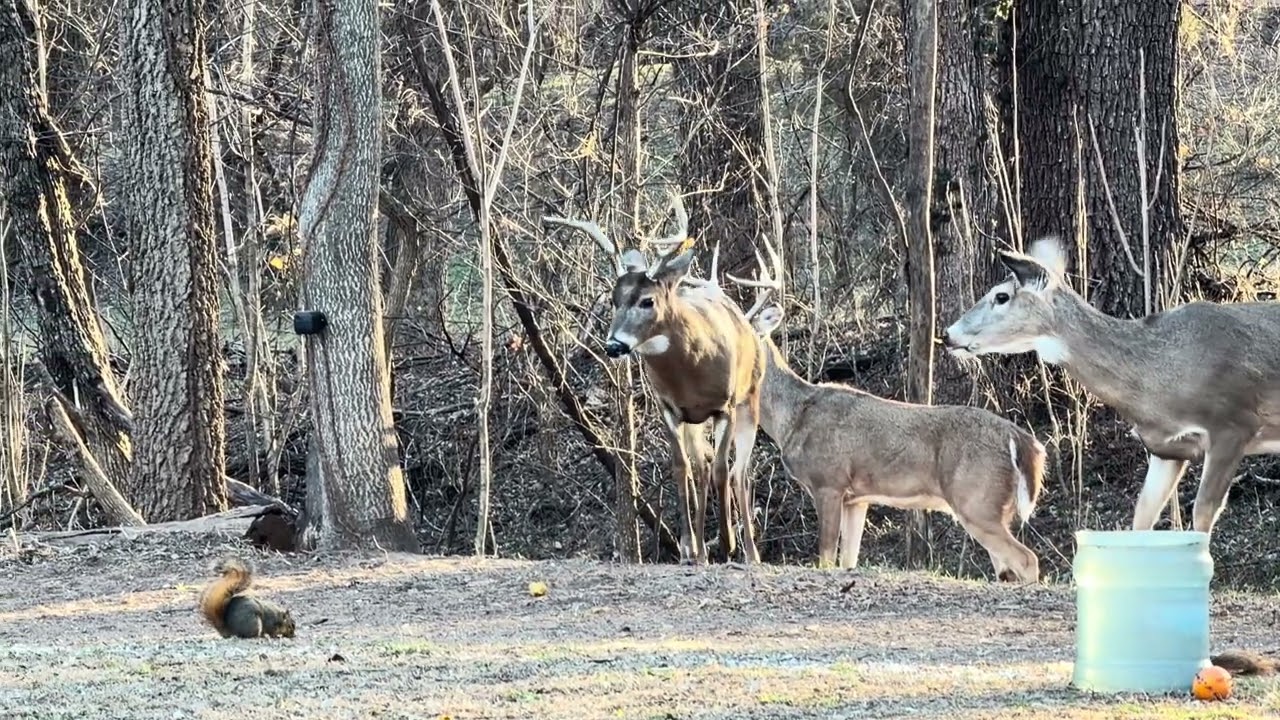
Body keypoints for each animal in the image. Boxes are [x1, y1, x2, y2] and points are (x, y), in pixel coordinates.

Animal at [541, 193, 781, 565]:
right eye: (613, 300)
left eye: (647, 300)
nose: (614, 345)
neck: (691, 368)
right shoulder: (669, 407)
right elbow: (682, 468)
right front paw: (688, 547)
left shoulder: (724, 406)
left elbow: (721, 469)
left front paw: (727, 543)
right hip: (696, 421)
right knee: (702, 467)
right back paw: (700, 549)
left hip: (748, 401)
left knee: (738, 470)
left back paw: (749, 552)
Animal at [681, 248, 1046, 582]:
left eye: (743, 332)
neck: (793, 417)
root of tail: (1024, 442)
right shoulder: (857, 499)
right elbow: (848, 559)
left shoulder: (829, 481)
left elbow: (826, 557)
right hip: (990, 506)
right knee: (1008, 567)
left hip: (976, 499)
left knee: (1027, 559)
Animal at [942, 236, 1280, 539]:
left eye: (1001, 296)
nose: (947, 334)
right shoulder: (1166, 450)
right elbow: (1141, 517)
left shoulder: (1233, 425)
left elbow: (1202, 515)